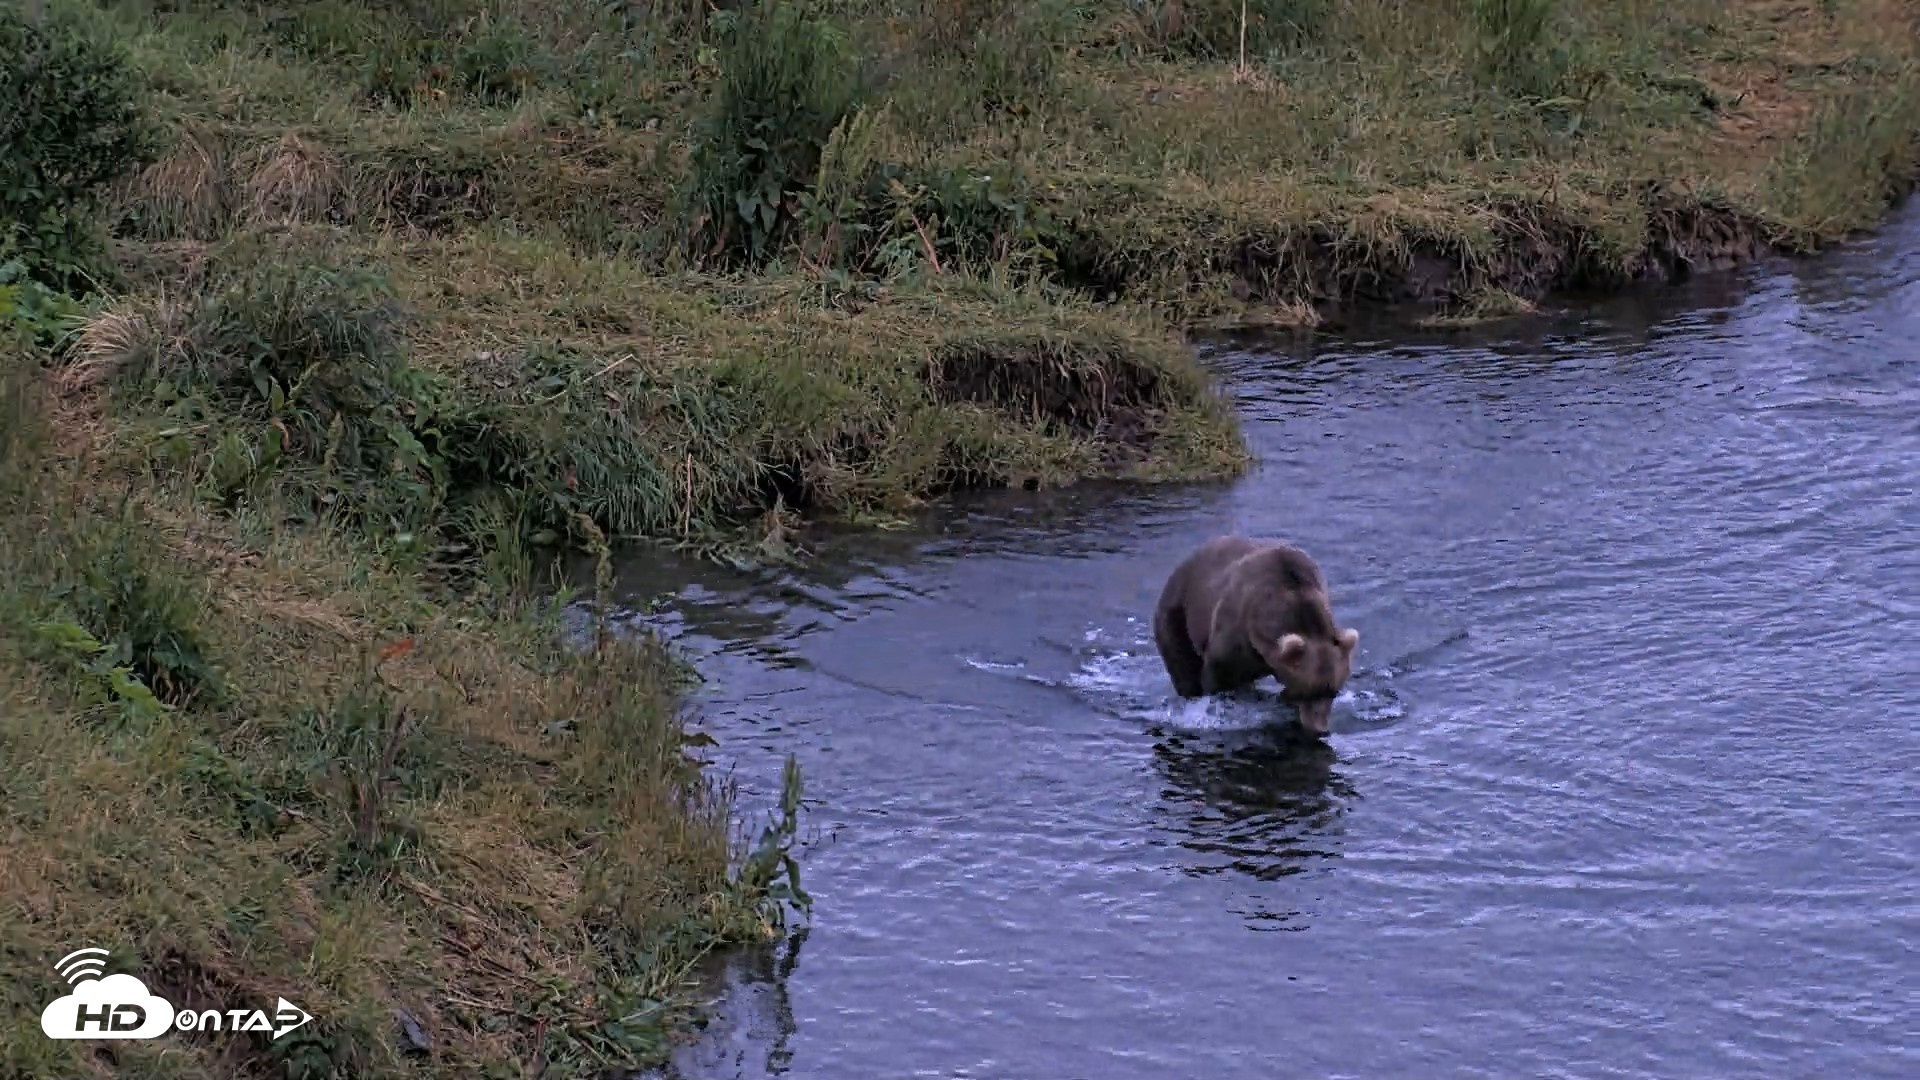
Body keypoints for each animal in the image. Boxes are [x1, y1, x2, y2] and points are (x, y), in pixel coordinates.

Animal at [1151, 535, 1360, 737]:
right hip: (1177, 615)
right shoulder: (1234, 635)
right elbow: (1217, 676)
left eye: (1333, 692)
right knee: (1183, 666)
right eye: (1307, 692)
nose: (1320, 729)